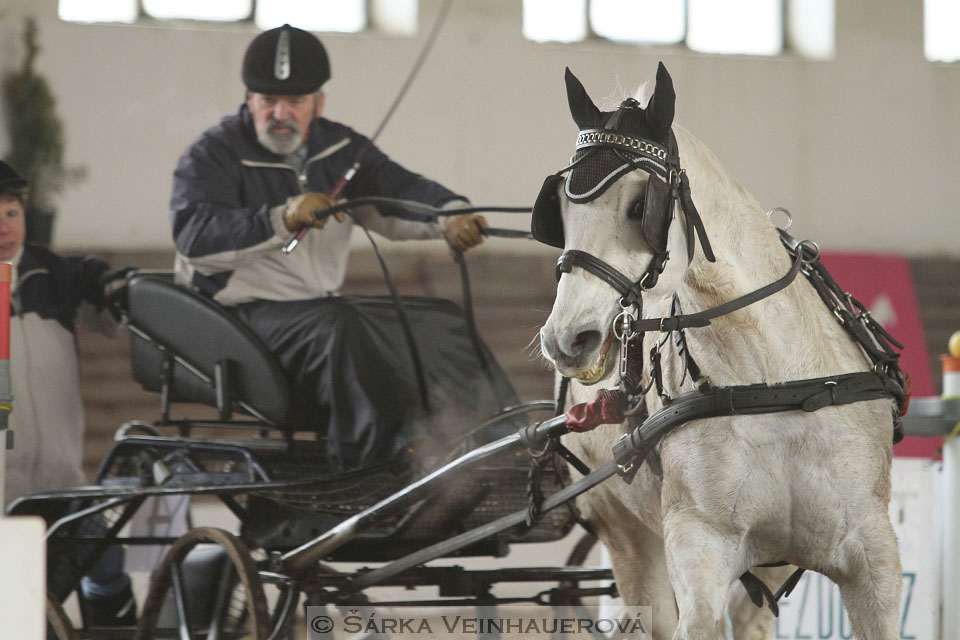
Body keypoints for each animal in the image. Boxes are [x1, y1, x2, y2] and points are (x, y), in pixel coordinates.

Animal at [540, 65, 900, 640]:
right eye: (560, 212)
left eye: (639, 206)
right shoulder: (698, 542)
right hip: (629, 537)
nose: (567, 339)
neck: (772, 385)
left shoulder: (874, 555)